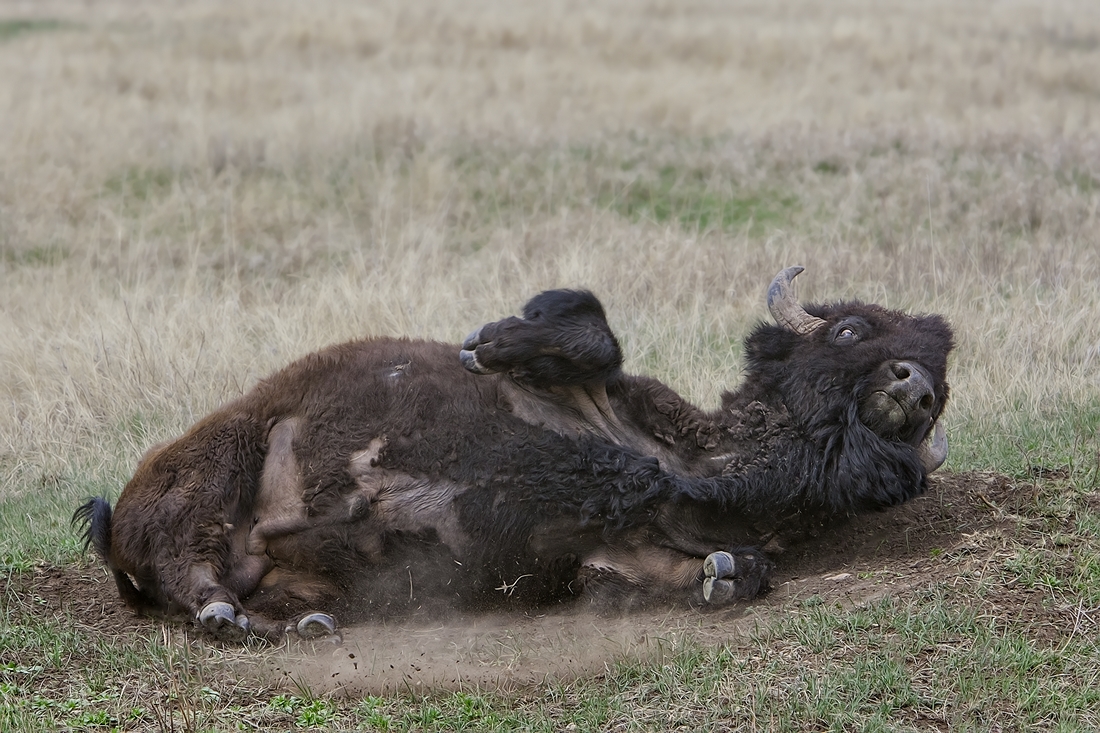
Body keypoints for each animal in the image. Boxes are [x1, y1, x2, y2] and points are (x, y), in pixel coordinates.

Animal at [75, 267, 954, 638]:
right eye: (852, 331)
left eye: (942, 379)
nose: (915, 388)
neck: (681, 464)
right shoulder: (595, 391)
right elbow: (592, 331)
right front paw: (492, 341)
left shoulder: (615, 543)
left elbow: (724, 568)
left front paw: (722, 574)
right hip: (216, 463)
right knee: (186, 557)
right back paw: (227, 615)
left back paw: (299, 622)